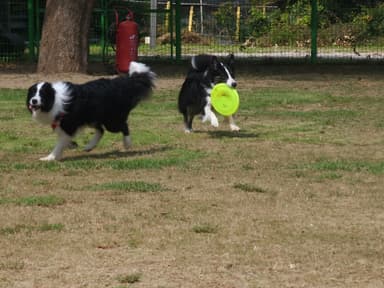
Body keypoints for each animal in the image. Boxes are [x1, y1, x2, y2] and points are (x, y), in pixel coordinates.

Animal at [25, 61, 156, 161]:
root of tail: (121, 84)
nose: (34, 101)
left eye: (42, 94)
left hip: (111, 121)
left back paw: (127, 144)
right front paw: (71, 145)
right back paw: (89, 146)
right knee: (101, 130)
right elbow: (65, 139)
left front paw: (50, 157)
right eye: (33, 93)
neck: (54, 98)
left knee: (123, 126)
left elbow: (60, 143)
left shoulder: (69, 125)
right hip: (93, 118)